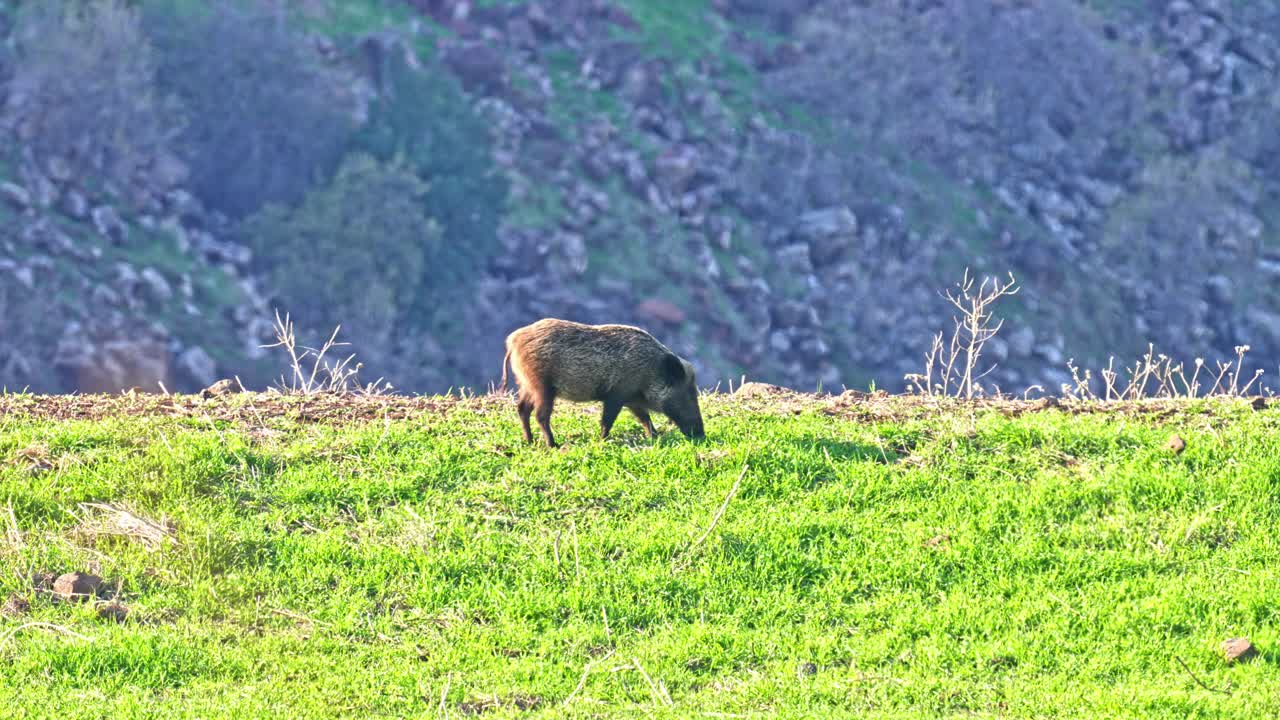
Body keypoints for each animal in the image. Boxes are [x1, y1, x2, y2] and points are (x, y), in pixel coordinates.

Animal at [501, 318, 705, 447]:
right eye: (686, 395)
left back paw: (529, 441)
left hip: (526, 384)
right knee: (540, 415)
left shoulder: (631, 399)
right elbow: (608, 419)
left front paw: (654, 437)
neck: (651, 370)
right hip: (542, 386)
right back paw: (553, 445)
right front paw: (603, 440)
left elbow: (644, 417)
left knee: (522, 408)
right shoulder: (616, 395)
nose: (701, 435)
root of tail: (513, 340)